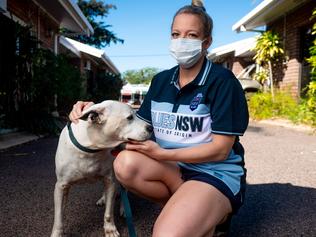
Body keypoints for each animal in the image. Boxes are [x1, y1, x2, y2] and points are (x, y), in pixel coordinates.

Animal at [51, 100, 152, 237]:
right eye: (129, 117)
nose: (151, 128)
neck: (91, 148)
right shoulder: (61, 186)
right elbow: (59, 217)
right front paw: (57, 233)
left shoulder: (110, 180)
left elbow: (108, 213)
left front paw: (110, 229)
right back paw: (103, 198)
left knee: (123, 189)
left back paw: (123, 208)